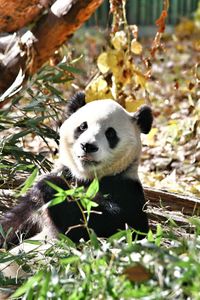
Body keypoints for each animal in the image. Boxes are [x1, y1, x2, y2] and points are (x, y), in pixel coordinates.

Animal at [0, 92, 152, 251]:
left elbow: (110, 226)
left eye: (110, 133)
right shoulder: (36, 202)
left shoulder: (125, 189)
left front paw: (52, 186)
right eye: (83, 126)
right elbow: (13, 223)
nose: (88, 146)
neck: (87, 177)